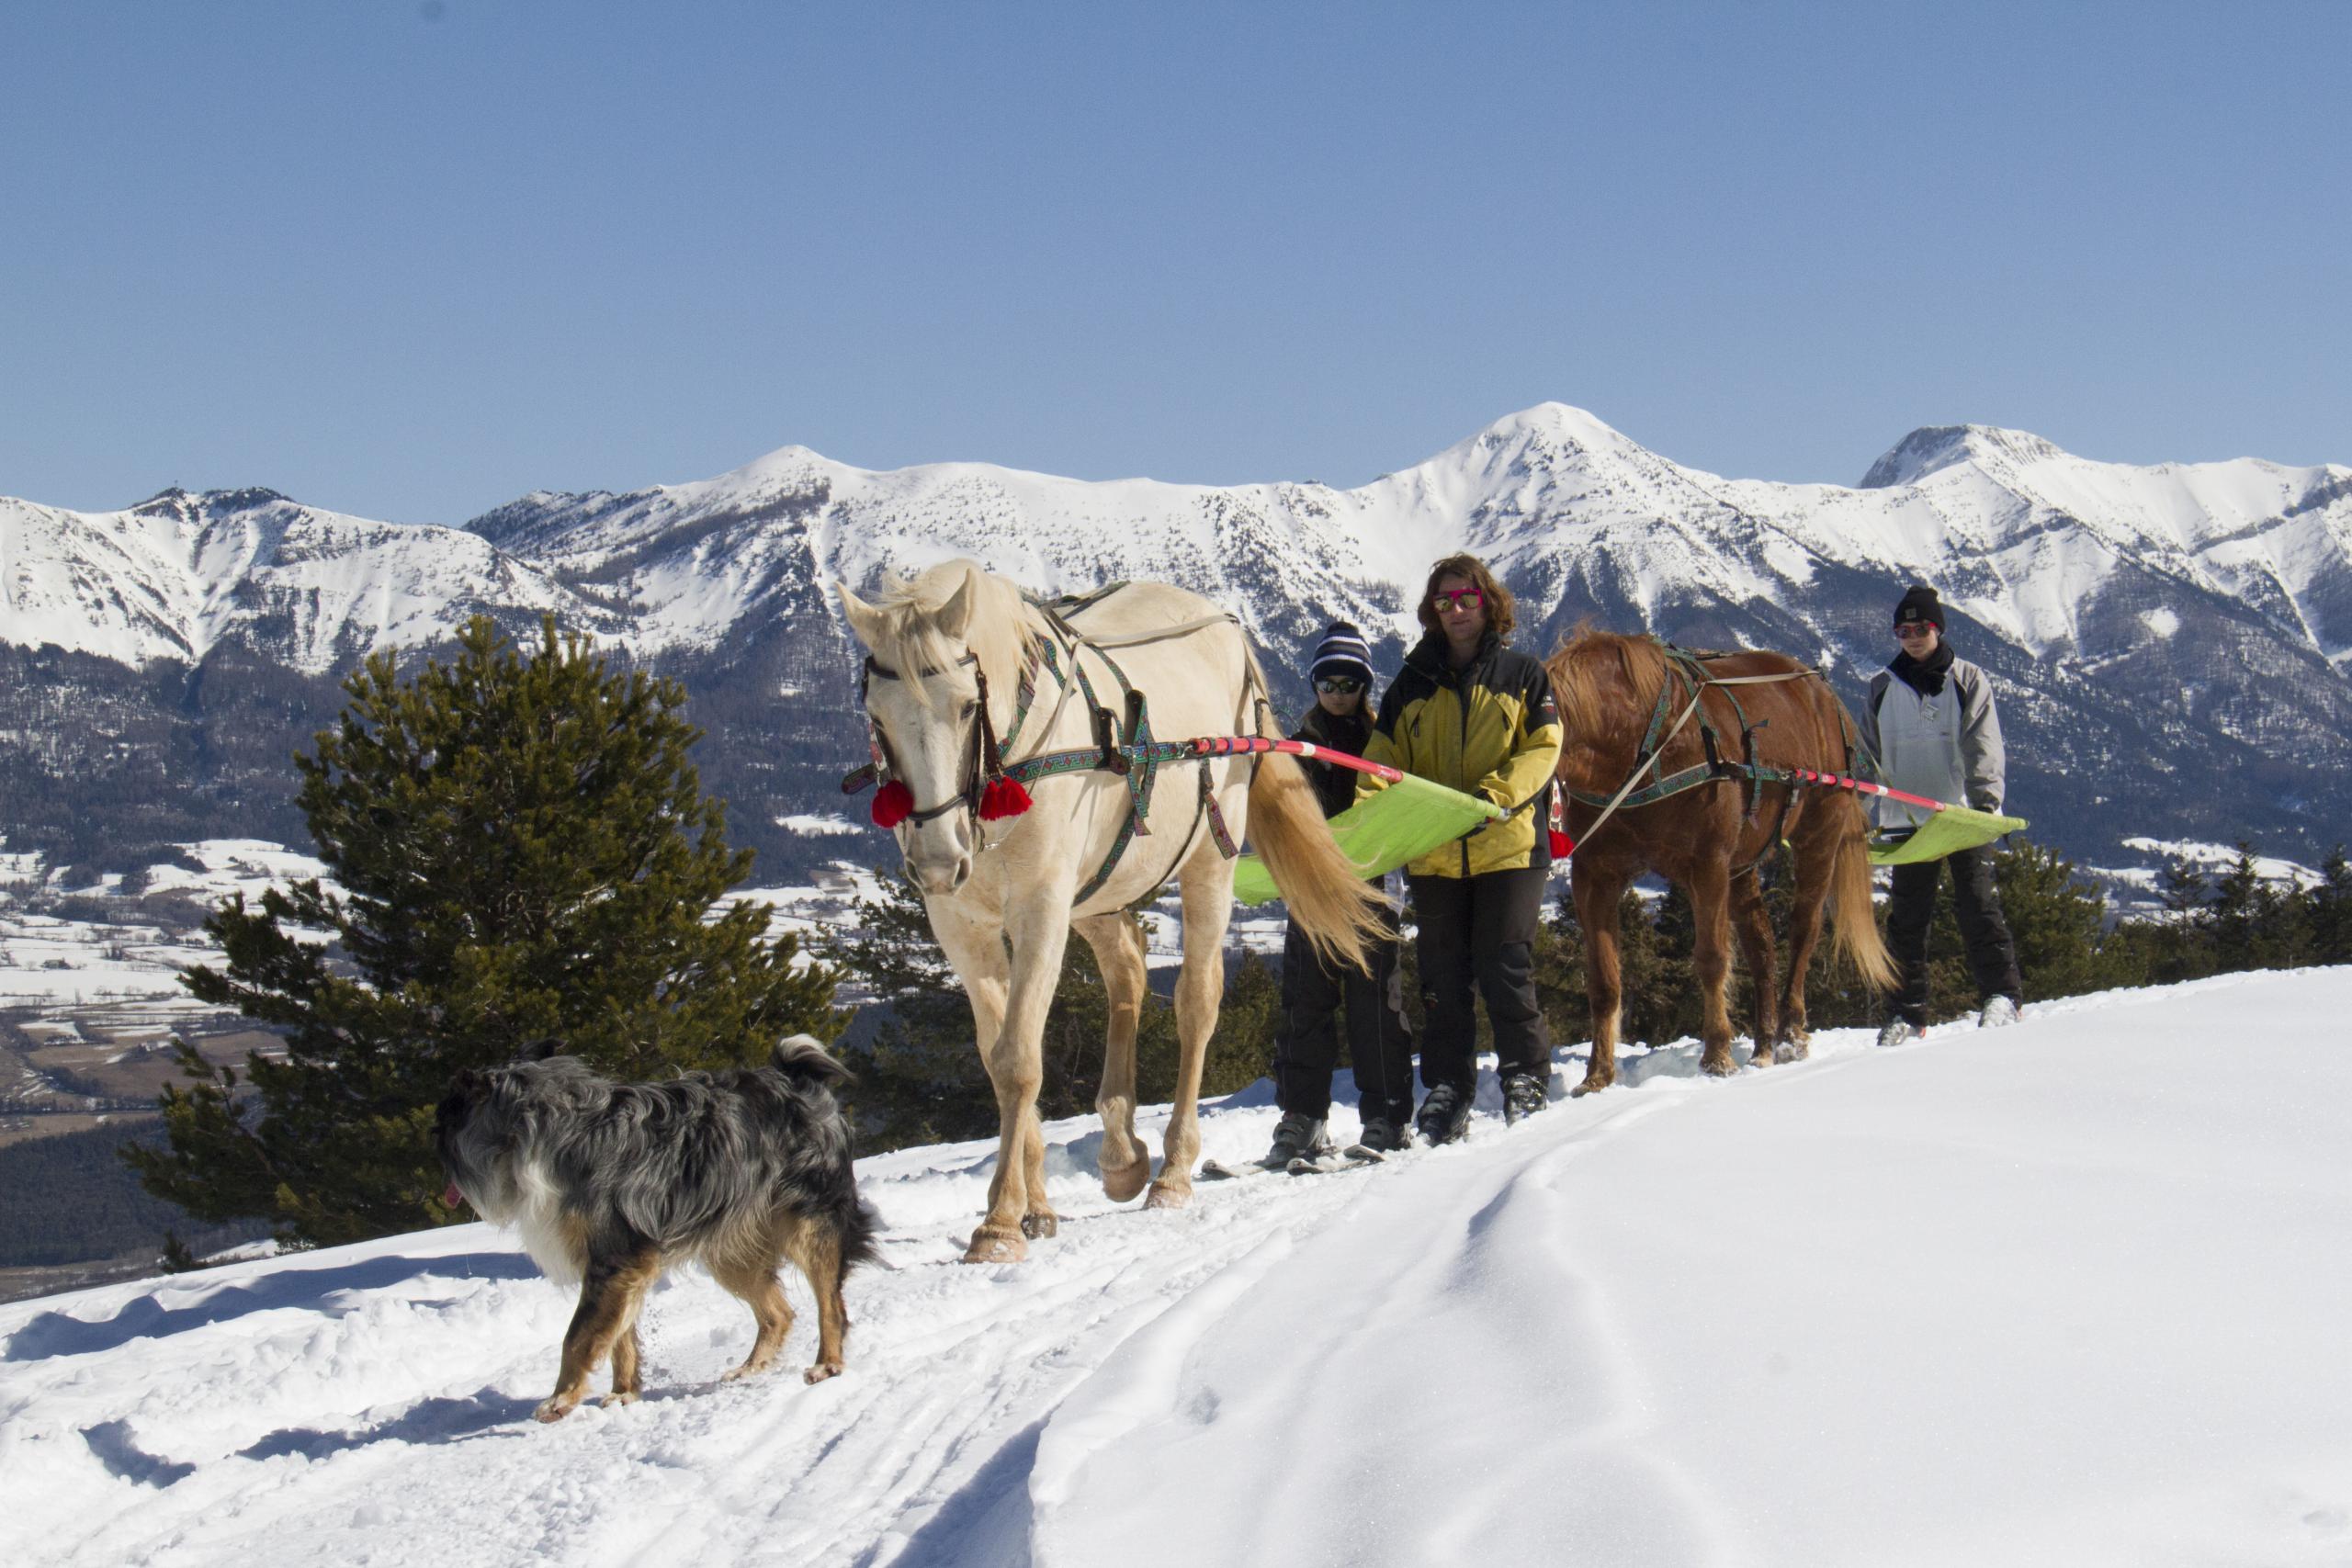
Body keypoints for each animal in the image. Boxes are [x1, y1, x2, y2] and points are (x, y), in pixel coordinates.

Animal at [435, 1034, 884, 1429]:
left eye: (445, 1117)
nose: (432, 1142)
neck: (542, 1126)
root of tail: (797, 1078)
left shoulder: (614, 1256)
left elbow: (577, 1337)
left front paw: (560, 1400)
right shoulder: (619, 1267)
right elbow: (618, 1335)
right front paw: (623, 1393)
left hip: (808, 1222)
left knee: (830, 1305)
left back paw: (826, 1365)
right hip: (730, 1250)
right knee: (778, 1313)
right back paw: (750, 1368)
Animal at [842, 561, 1374, 1259]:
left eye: (965, 705)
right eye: (877, 715)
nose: (936, 858)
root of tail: (1227, 631)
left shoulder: (1041, 908)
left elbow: (1018, 1059)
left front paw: (1000, 1222)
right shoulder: (960, 926)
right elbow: (997, 1055)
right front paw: (1035, 1207)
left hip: (1210, 860)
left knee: (1197, 1001)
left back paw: (1174, 1171)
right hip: (1098, 890)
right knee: (1128, 972)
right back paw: (1123, 1155)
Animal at [1552, 629, 1900, 1090]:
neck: (1638, 744)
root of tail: (1821, 691)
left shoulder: (1708, 864)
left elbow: (1712, 959)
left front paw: (1717, 1057)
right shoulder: (1595, 874)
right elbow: (1604, 980)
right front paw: (1597, 1077)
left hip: (1819, 834)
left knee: (1804, 930)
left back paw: (1790, 1035)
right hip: (1744, 864)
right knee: (1761, 945)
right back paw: (1764, 1046)